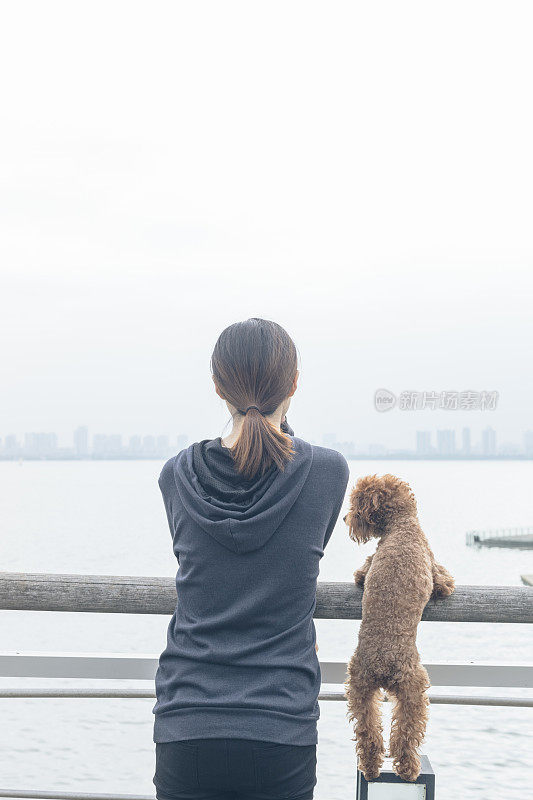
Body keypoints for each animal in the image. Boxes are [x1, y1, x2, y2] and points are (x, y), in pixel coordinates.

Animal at [344, 476, 454, 780]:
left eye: (356, 504)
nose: (345, 517)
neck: (401, 526)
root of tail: (382, 666)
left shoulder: (367, 566)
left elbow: (360, 575)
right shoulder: (435, 569)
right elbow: (445, 583)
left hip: (359, 686)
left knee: (368, 733)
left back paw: (370, 767)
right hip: (413, 687)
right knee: (406, 733)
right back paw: (408, 768)